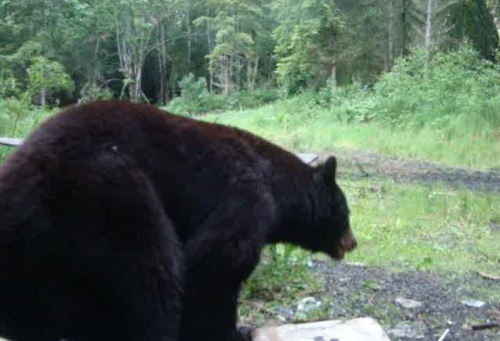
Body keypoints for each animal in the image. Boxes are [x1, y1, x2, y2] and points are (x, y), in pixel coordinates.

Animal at [0, 99, 356, 340]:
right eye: (346, 212)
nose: (353, 242)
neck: (276, 186)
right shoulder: (247, 199)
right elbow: (214, 267)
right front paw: (233, 332)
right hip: (108, 193)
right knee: (153, 273)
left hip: (28, 257)